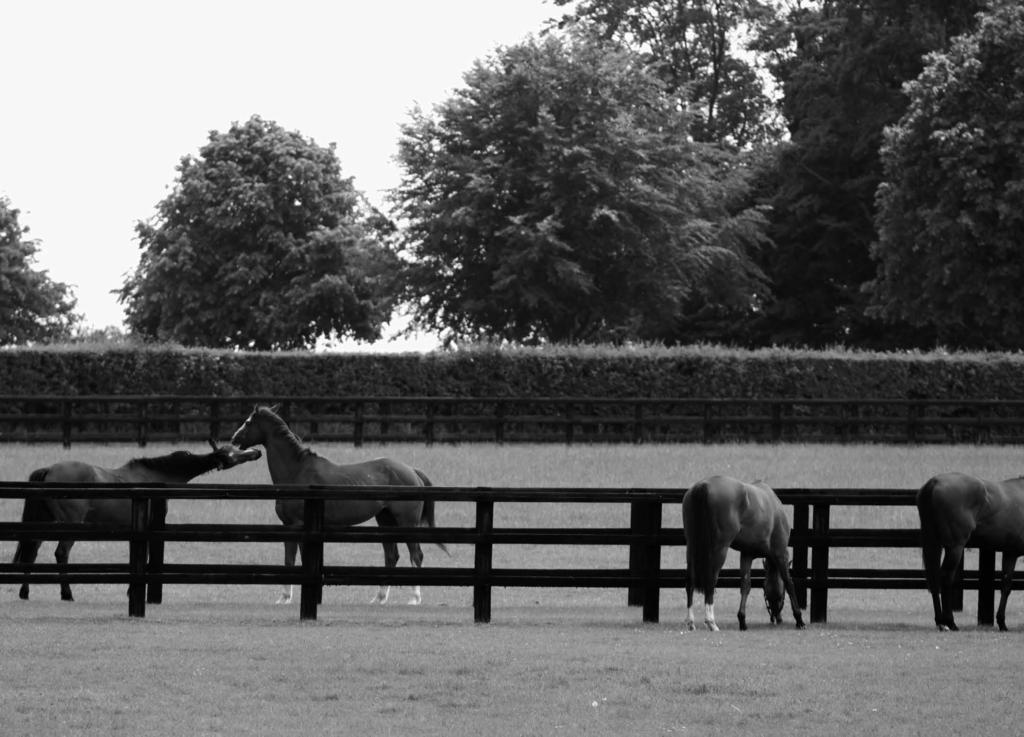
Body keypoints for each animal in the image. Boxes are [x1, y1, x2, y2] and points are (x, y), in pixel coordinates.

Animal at [12, 440, 260, 601]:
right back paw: (67, 594)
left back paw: (25, 592)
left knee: (31, 552)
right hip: (69, 525)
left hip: (44, 522)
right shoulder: (149, 528)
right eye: (234, 453)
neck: (155, 477)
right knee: (61, 553)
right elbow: (146, 558)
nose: (256, 451)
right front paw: (135, 591)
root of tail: (49, 470)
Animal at [233, 403, 448, 605]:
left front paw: (287, 598)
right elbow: (291, 560)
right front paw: (285, 597)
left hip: (406, 522)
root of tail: (412, 470)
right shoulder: (290, 526)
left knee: (416, 555)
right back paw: (379, 598)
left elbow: (297, 560)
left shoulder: (298, 525)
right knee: (391, 556)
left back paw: (414, 599)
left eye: (248, 422)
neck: (297, 472)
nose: (234, 440)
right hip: (385, 520)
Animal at [684, 477, 802, 634]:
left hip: (691, 547)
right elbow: (789, 582)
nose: (777, 619)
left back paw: (691, 622)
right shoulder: (781, 553)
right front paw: (799, 619)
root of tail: (705, 485)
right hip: (719, 549)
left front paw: (742, 621)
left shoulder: (747, 555)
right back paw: (711, 622)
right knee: (711, 581)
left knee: (690, 582)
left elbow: (745, 586)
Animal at [917, 474, 1024, 630]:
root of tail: (934, 482)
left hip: (933, 542)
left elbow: (1005, 586)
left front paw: (1002, 622)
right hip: (955, 548)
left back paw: (940, 622)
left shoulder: (1010, 553)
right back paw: (950, 622)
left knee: (934, 579)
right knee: (946, 578)